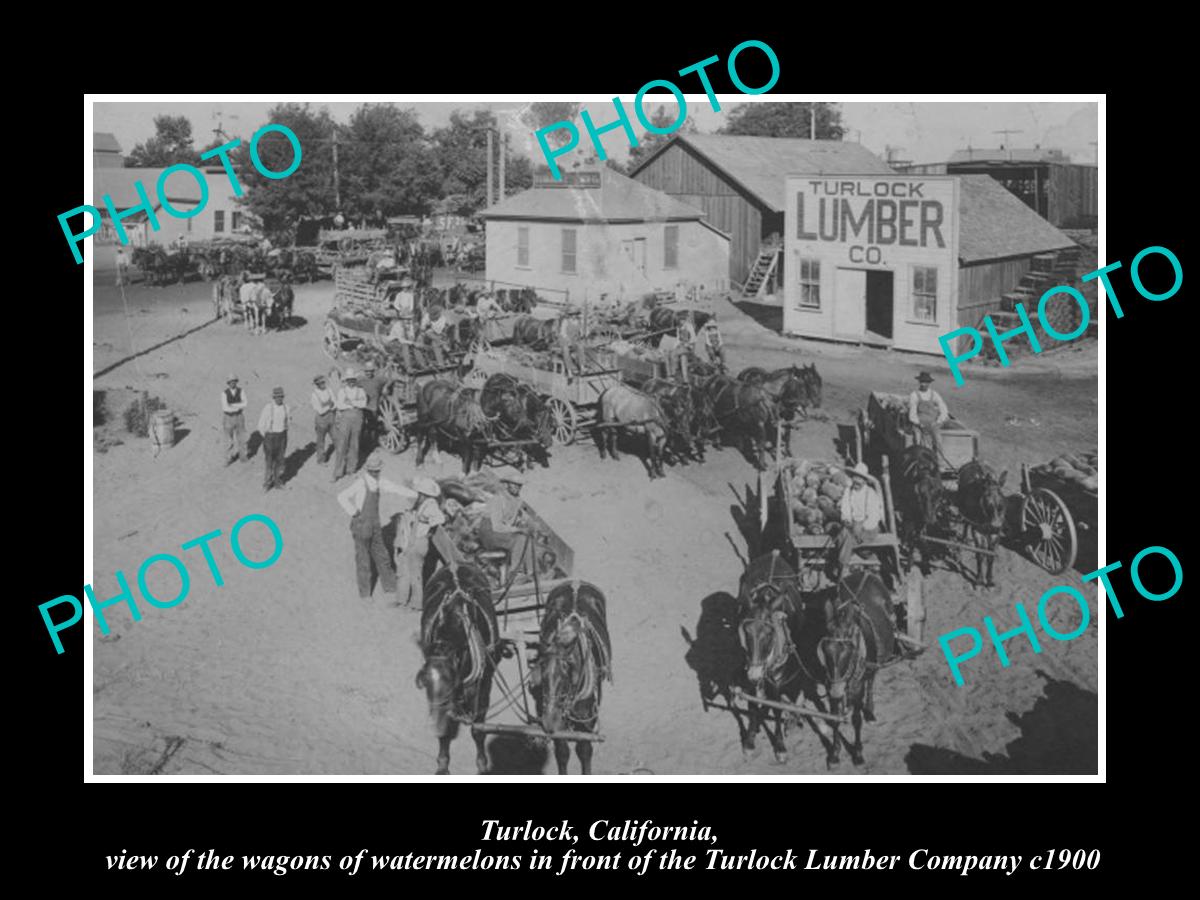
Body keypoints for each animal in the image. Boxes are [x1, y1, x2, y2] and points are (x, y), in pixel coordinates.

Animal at [417, 564, 501, 777]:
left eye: (449, 680)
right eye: (426, 681)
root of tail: (455, 563)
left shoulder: (483, 687)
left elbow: (478, 729)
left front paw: (482, 765)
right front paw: (442, 764)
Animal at [532, 580, 614, 777]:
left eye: (565, 678)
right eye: (542, 678)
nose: (549, 721)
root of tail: (575, 582)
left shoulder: (587, 721)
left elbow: (584, 750)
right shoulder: (559, 726)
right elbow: (562, 752)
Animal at [960, 460, 1008, 588]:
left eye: (1001, 501)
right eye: (986, 499)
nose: (995, 526)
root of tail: (974, 461)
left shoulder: (996, 534)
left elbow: (990, 555)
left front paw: (990, 579)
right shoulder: (977, 531)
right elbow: (980, 554)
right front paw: (979, 579)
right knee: (965, 523)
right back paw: (964, 537)